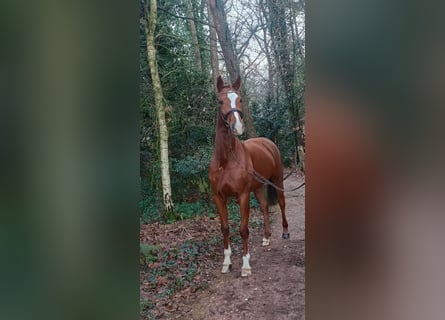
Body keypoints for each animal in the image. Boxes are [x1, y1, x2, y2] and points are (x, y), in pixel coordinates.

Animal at [208, 75, 288, 278]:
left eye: (240, 99)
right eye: (220, 101)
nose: (237, 126)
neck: (226, 160)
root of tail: (268, 142)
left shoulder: (242, 195)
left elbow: (244, 230)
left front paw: (245, 265)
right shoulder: (218, 198)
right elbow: (225, 229)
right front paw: (226, 263)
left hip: (277, 181)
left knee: (282, 204)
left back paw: (285, 232)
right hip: (259, 188)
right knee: (265, 207)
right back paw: (266, 238)